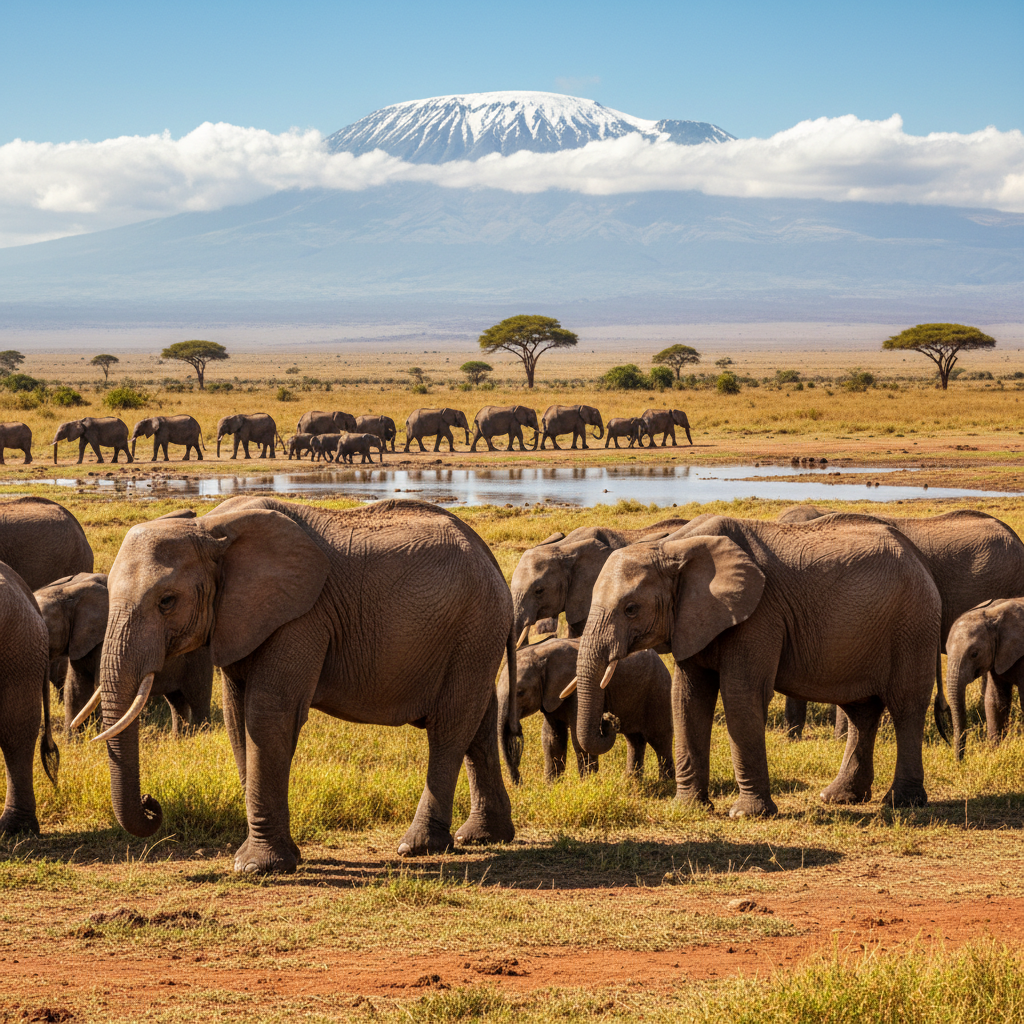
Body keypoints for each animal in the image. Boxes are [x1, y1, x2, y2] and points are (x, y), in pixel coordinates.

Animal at [34, 572, 213, 738]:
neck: (68, 592)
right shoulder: (79, 640)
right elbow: (75, 688)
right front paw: (73, 741)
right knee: (176, 700)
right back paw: (178, 739)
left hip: (199, 658)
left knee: (198, 698)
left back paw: (202, 735)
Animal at [94, 496, 517, 872]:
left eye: (167, 601)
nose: (152, 802)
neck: (211, 528)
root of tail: (491, 558)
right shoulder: (239, 618)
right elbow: (236, 720)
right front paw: (280, 857)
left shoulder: (302, 617)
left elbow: (268, 716)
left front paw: (258, 867)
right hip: (476, 635)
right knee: (478, 725)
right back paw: (482, 838)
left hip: (475, 626)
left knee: (449, 727)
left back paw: (418, 847)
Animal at [500, 637, 673, 783]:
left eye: (520, 692)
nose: (520, 784)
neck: (540, 652)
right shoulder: (549, 695)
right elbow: (552, 739)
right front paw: (551, 787)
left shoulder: (576, 689)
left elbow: (577, 737)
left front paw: (587, 784)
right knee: (634, 740)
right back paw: (632, 782)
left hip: (658, 690)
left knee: (660, 739)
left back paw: (665, 784)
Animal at [571, 513, 941, 816]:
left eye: (631, 609)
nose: (609, 720)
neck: (673, 547)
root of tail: (919, 560)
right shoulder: (692, 619)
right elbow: (687, 700)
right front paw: (687, 809)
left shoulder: (758, 615)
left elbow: (740, 696)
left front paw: (746, 814)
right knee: (861, 712)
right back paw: (839, 798)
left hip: (913, 625)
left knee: (906, 707)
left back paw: (901, 802)